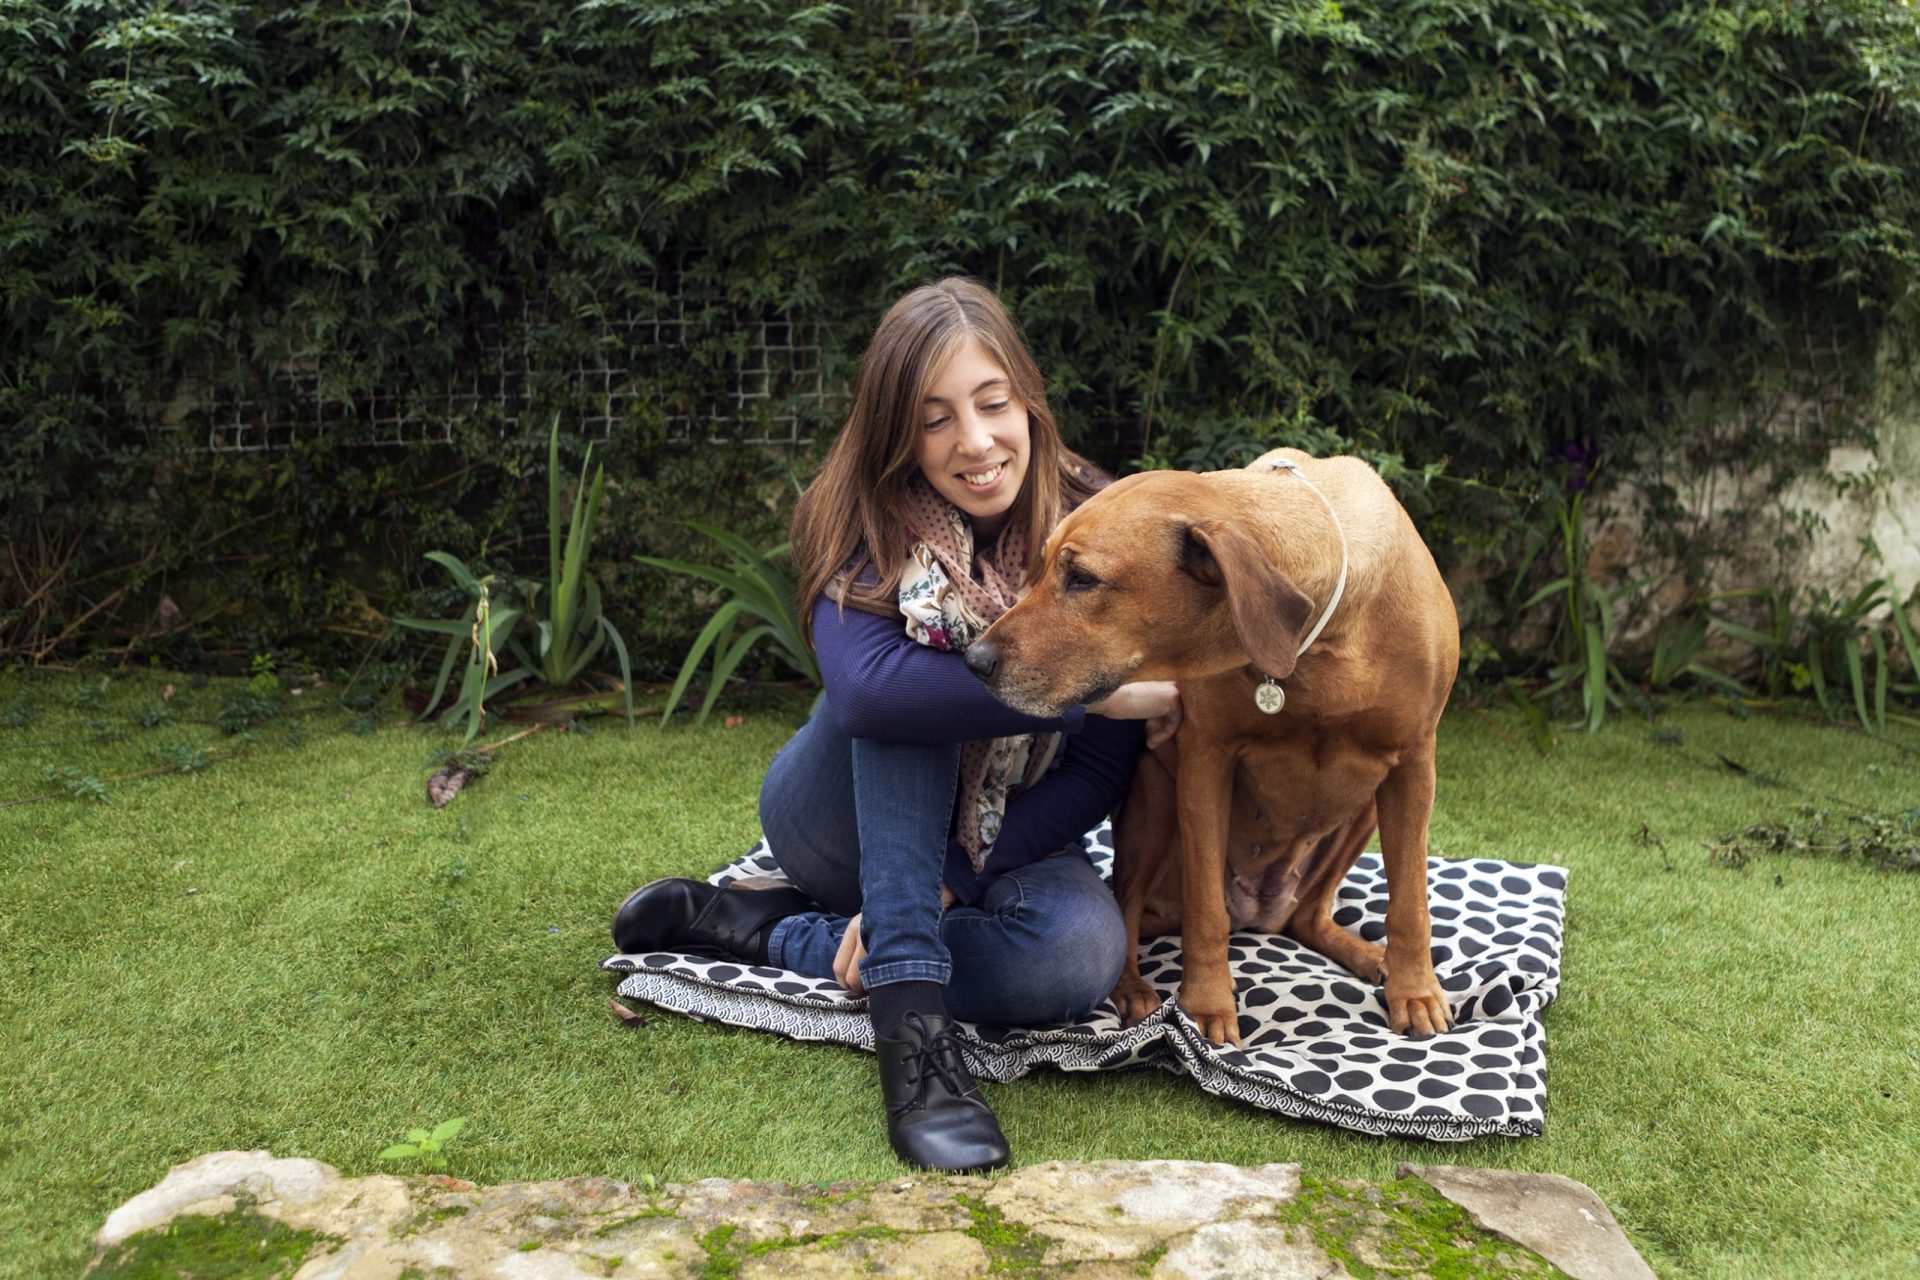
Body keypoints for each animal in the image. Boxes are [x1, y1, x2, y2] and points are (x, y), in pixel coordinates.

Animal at [967, 449, 1459, 1043]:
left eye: (1082, 579)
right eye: (1039, 569)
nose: (974, 660)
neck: (1317, 642)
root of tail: (1260, 915)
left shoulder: (1415, 762)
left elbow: (1410, 900)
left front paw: (1416, 989)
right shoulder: (1205, 757)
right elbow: (1206, 911)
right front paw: (1205, 1004)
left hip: (1364, 806)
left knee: (1308, 916)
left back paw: (1368, 956)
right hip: (1155, 797)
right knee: (1128, 908)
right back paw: (1132, 989)